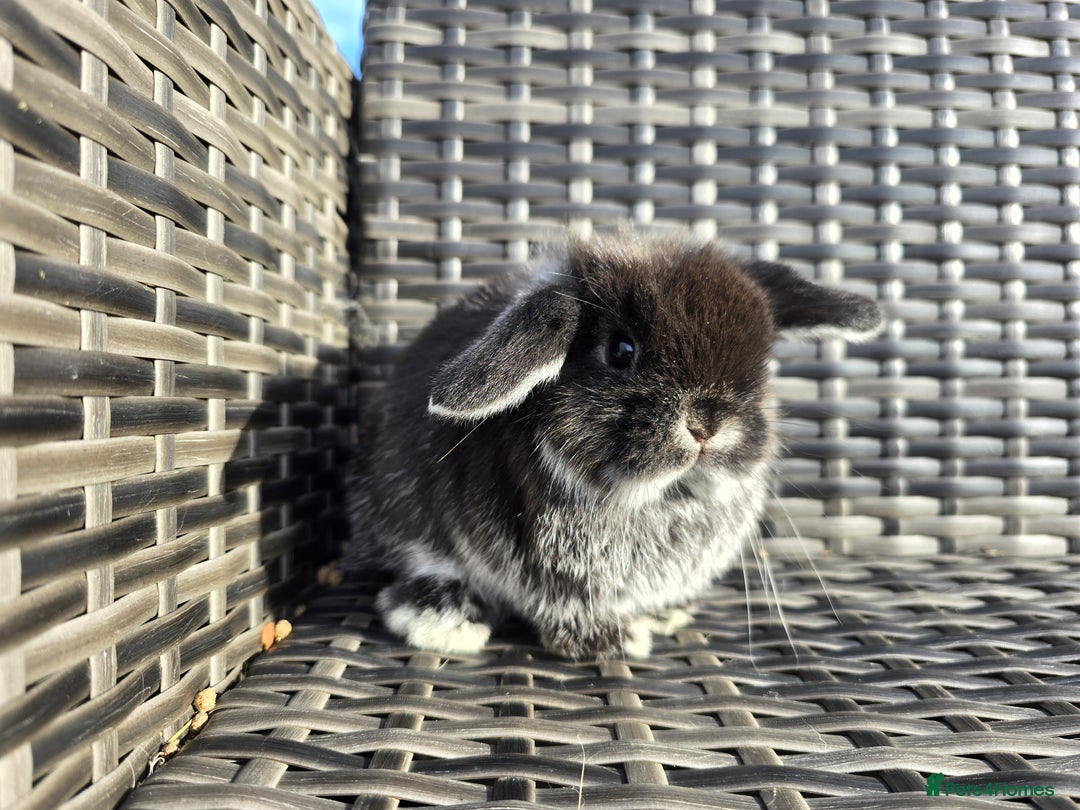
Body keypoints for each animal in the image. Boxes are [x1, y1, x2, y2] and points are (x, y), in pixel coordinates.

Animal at [348, 227, 883, 659]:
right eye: (621, 351)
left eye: (762, 367)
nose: (707, 424)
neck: (660, 498)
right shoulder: (554, 577)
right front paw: (614, 641)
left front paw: (664, 614)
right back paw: (445, 617)